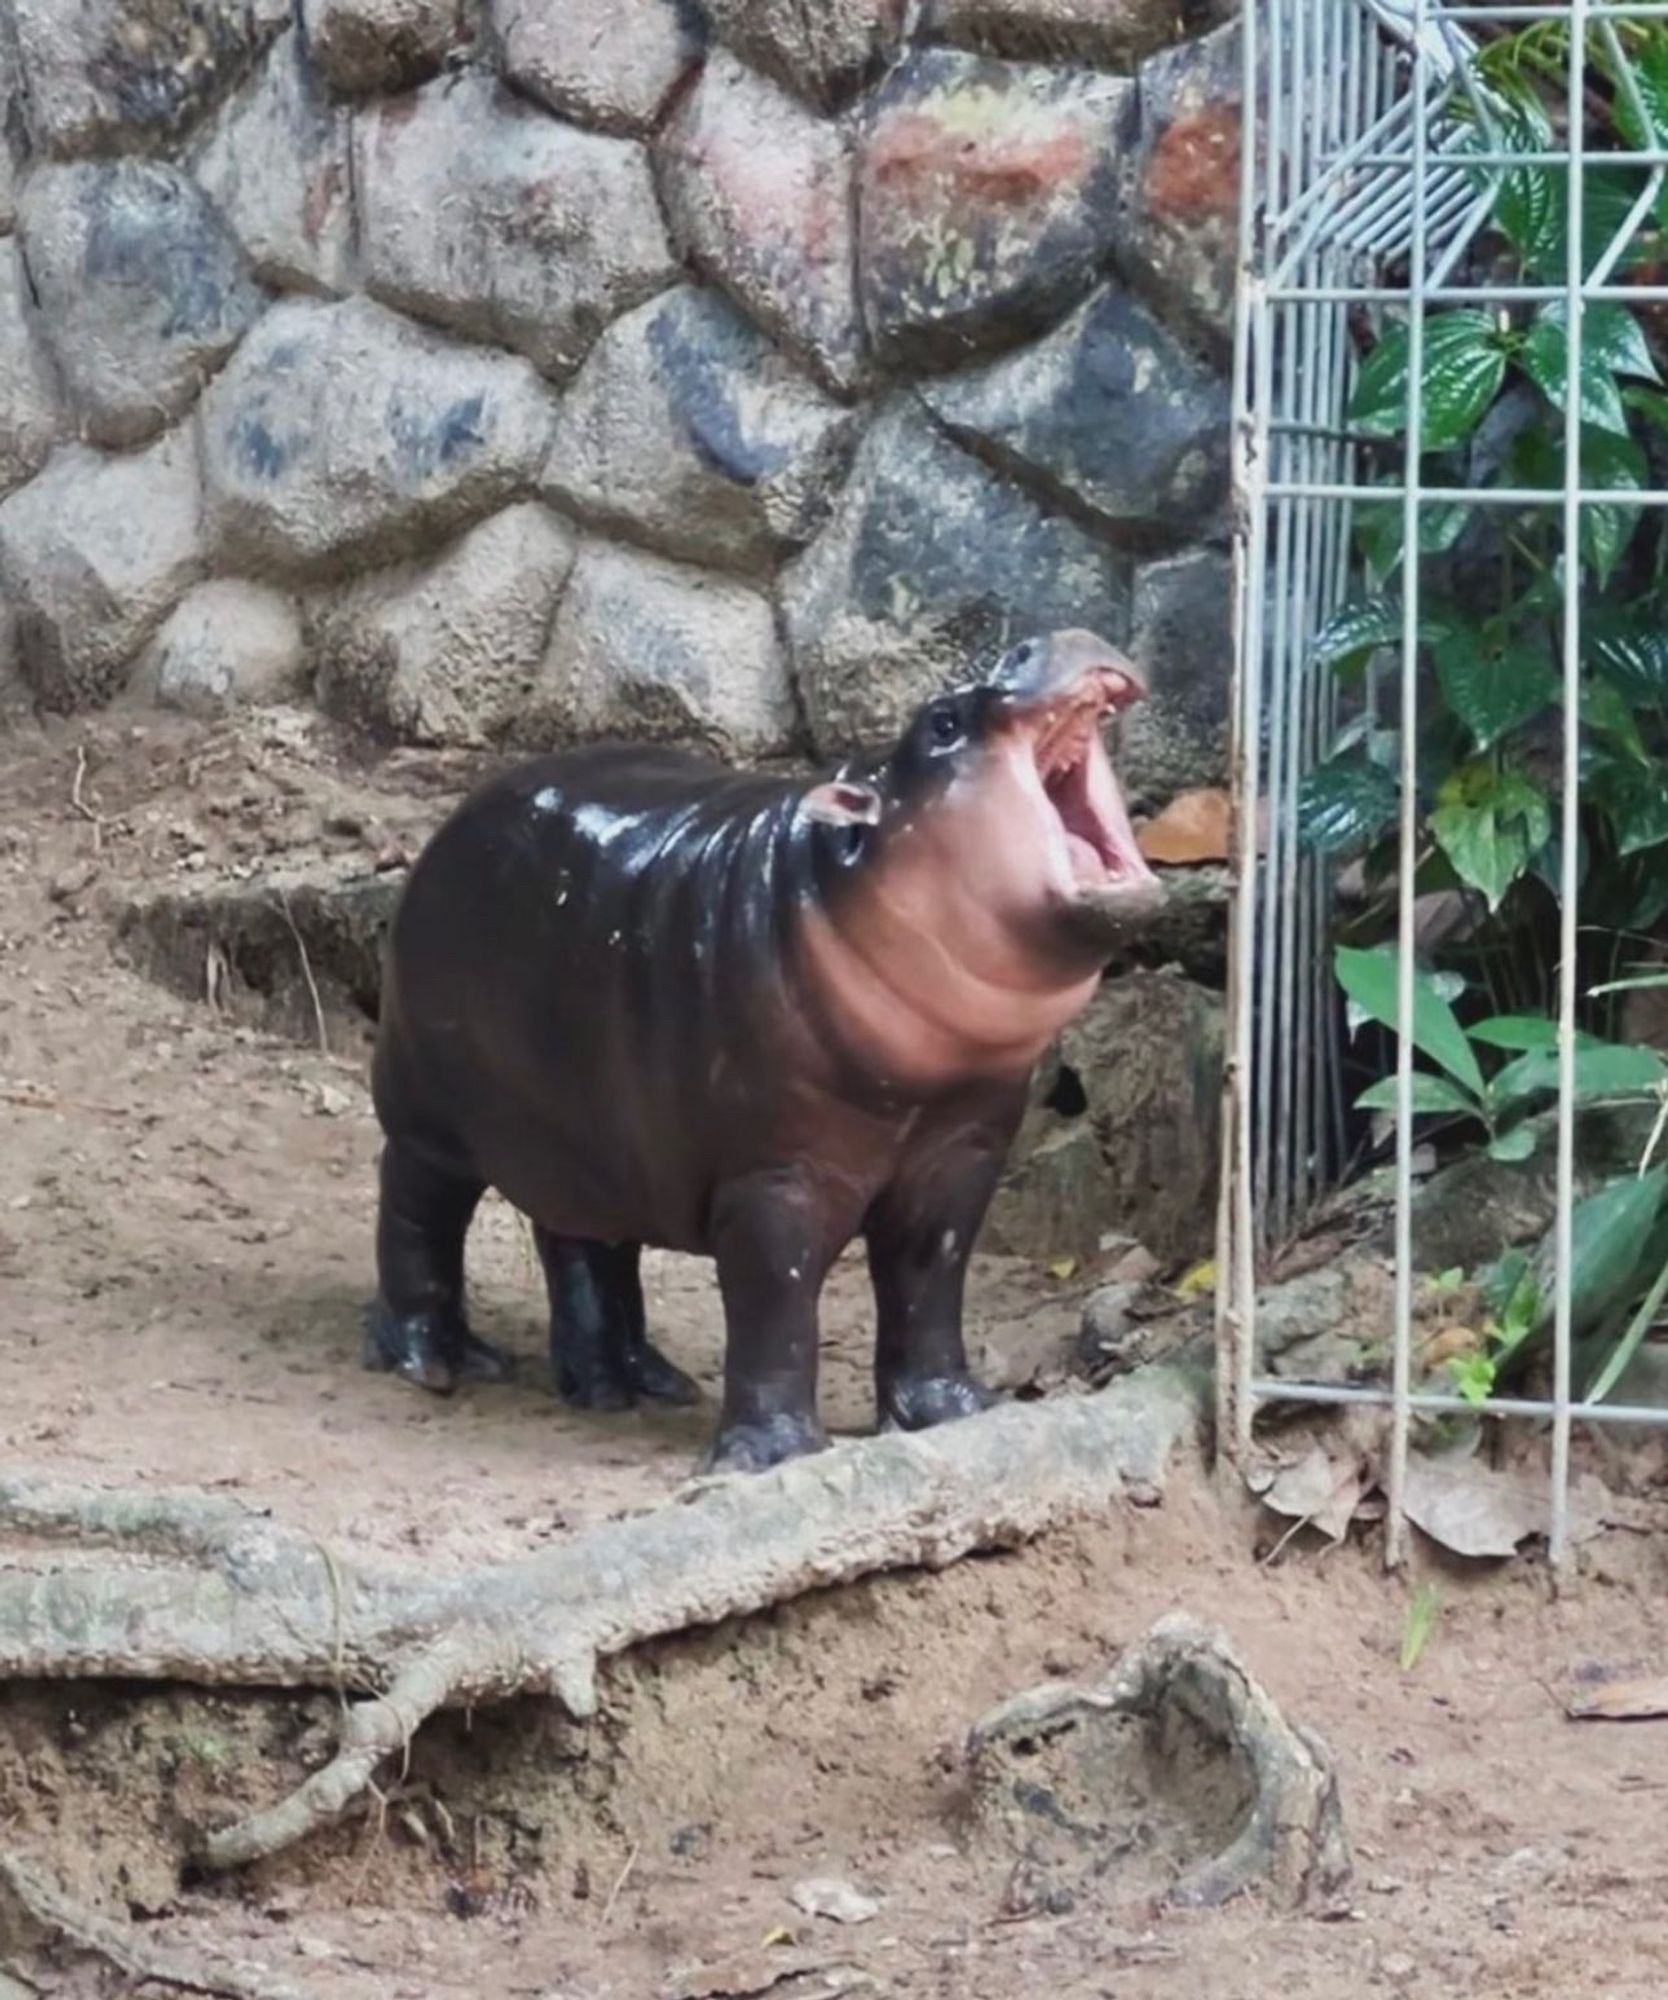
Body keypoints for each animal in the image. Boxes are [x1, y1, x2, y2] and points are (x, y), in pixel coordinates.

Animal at [368, 632, 1160, 1480]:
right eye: (942, 721)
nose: (1042, 639)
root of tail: (457, 815)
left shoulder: (961, 1153)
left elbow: (930, 1281)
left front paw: (955, 1412)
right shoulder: (777, 1175)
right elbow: (775, 1304)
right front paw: (776, 1455)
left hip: (586, 1134)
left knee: (583, 1241)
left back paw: (630, 1384)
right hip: (427, 1109)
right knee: (418, 1208)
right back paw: (437, 1361)